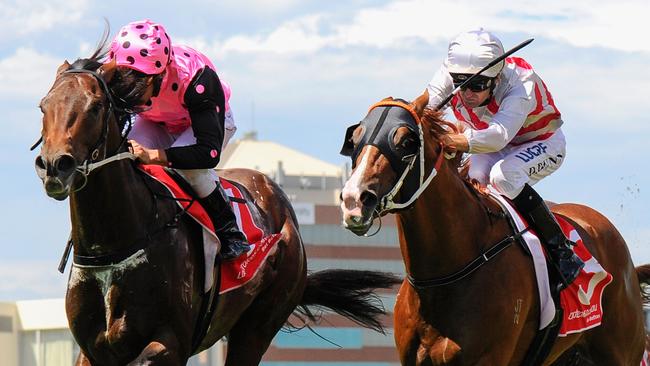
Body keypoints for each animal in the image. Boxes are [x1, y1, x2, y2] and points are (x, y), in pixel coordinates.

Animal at [34, 49, 400, 366]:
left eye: (96, 107)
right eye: (43, 106)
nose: (55, 166)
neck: (118, 240)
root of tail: (282, 205)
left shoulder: (170, 343)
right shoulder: (92, 350)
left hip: (260, 322)